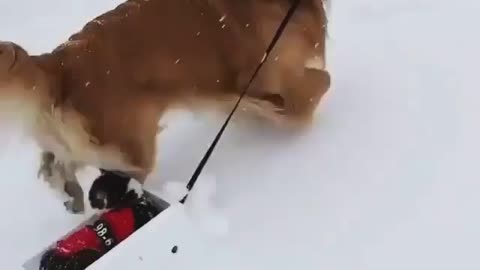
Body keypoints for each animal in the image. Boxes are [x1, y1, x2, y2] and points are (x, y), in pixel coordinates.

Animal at [0, 0, 330, 213]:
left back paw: (71, 195)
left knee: (55, 164)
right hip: (131, 149)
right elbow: (316, 87)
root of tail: (56, 64)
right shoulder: (271, 75)